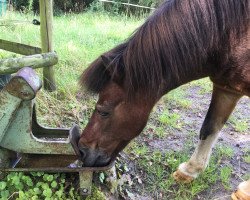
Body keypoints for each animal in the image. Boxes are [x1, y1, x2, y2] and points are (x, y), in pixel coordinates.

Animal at [77, 0, 248, 198]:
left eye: (104, 111)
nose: (81, 150)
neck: (232, 36)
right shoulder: (227, 88)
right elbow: (209, 128)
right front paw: (189, 171)